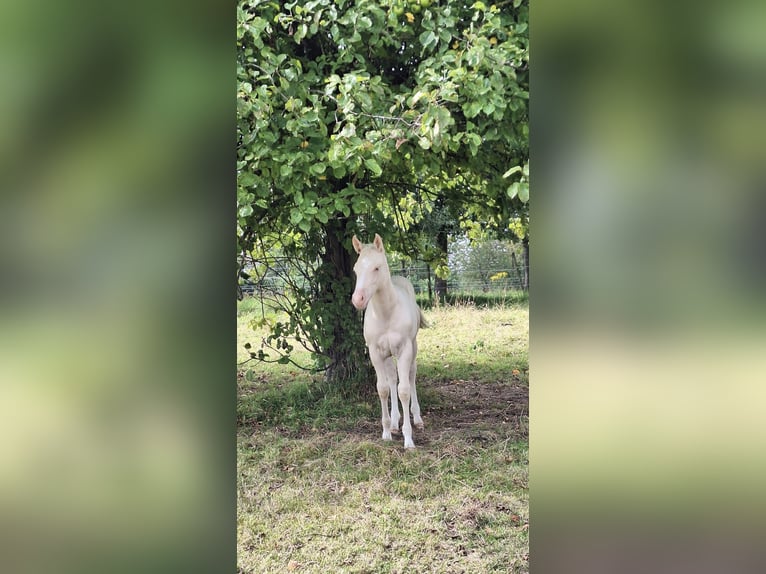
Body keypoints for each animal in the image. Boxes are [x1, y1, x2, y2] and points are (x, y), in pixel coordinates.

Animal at [351, 233, 427, 449]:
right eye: (356, 269)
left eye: (376, 268)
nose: (358, 299)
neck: (386, 313)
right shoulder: (376, 353)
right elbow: (383, 388)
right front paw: (386, 432)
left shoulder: (405, 350)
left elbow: (404, 390)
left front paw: (408, 439)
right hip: (387, 355)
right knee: (393, 378)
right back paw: (394, 423)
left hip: (413, 347)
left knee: (411, 375)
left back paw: (417, 418)